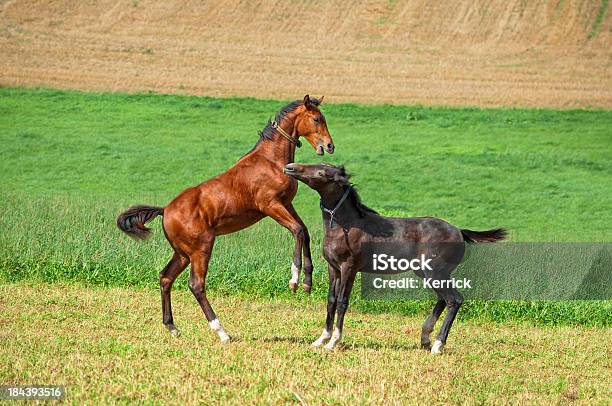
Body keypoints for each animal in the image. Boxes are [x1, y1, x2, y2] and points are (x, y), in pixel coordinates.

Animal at [116, 95, 332, 342]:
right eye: (316, 119)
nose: (329, 145)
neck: (270, 160)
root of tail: (166, 210)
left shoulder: (287, 204)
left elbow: (304, 231)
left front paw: (307, 282)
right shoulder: (271, 206)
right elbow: (298, 231)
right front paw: (294, 280)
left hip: (182, 254)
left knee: (165, 277)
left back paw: (172, 327)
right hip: (201, 249)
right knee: (196, 285)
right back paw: (221, 332)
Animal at [284, 163, 504, 354]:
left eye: (321, 173)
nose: (290, 167)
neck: (345, 226)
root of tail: (459, 231)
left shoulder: (349, 268)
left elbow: (342, 302)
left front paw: (333, 342)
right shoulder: (334, 268)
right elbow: (330, 301)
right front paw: (321, 339)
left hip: (435, 272)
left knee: (454, 300)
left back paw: (437, 345)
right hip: (427, 272)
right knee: (443, 299)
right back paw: (425, 338)